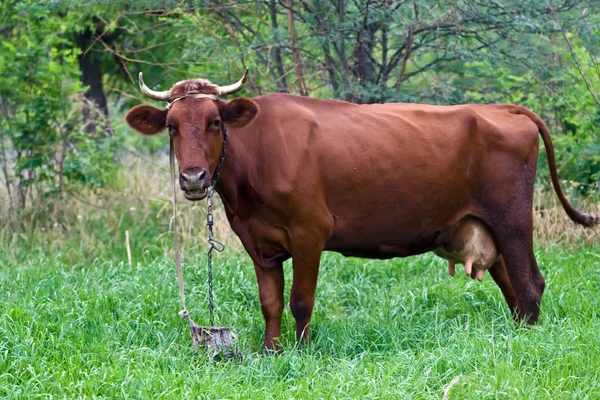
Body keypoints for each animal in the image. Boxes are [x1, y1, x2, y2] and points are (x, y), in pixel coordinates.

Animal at [124, 71, 596, 350]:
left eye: (216, 123)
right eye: (171, 127)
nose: (193, 178)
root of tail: (500, 107)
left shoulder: (309, 231)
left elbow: (300, 300)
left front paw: (300, 352)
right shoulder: (258, 241)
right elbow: (270, 302)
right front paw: (270, 351)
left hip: (512, 219)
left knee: (531, 284)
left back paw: (528, 344)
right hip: (485, 227)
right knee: (513, 289)